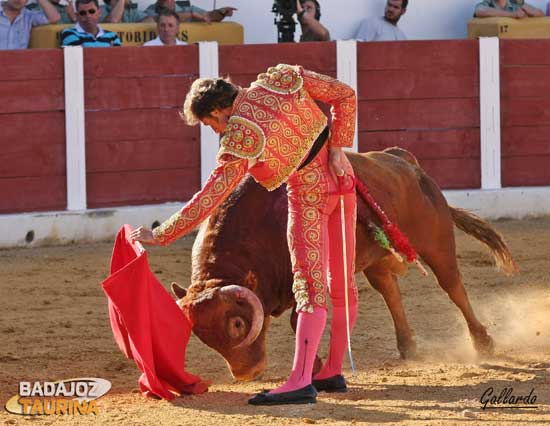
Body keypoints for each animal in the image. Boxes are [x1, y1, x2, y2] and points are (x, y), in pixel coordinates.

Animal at [171, 149, 516, 380]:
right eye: (200, 334)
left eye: (237, 324)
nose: (247, 373)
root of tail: (406, 163)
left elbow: (299, 321)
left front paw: (314, 369)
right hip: (375, 260)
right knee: (390, 291)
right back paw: (408, 346)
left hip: (436, 243)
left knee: (453, 286)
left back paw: (483, 342)